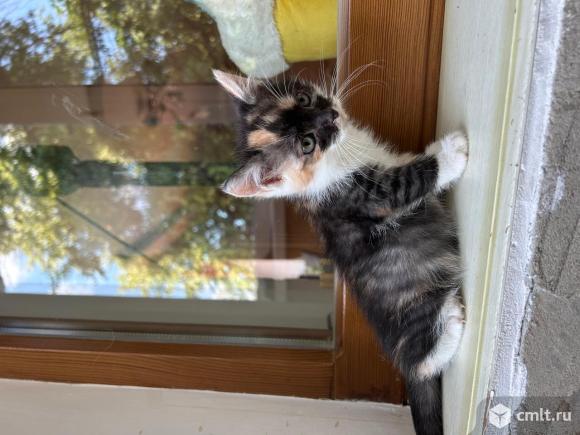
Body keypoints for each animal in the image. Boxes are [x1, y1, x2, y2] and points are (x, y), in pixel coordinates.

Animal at [213, 69, 466, 435]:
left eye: (304, 99)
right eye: (307, 144)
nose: (330, 115)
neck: (342, 155)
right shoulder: (366, 196)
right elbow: (409, 180)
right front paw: (451, 152)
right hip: (413, 308)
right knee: (420, 363)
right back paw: (450, 327)